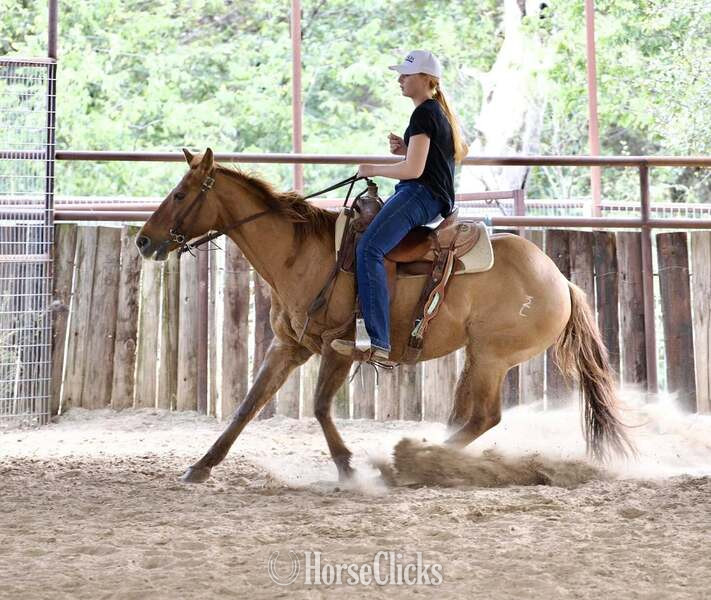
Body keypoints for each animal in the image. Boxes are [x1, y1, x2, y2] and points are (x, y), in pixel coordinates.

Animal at [135, 148, 635, 484]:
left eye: (179, 194)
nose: (143, 240)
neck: (303, 255)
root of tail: (561, 281)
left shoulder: (339, 348)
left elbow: (319, 406)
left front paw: (347, 467)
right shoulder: (289, 346)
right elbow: (248, 405)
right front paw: (201, 466)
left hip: (492, 357)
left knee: (484, 418)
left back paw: (414, 462)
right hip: (478, 358)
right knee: (467, 417)